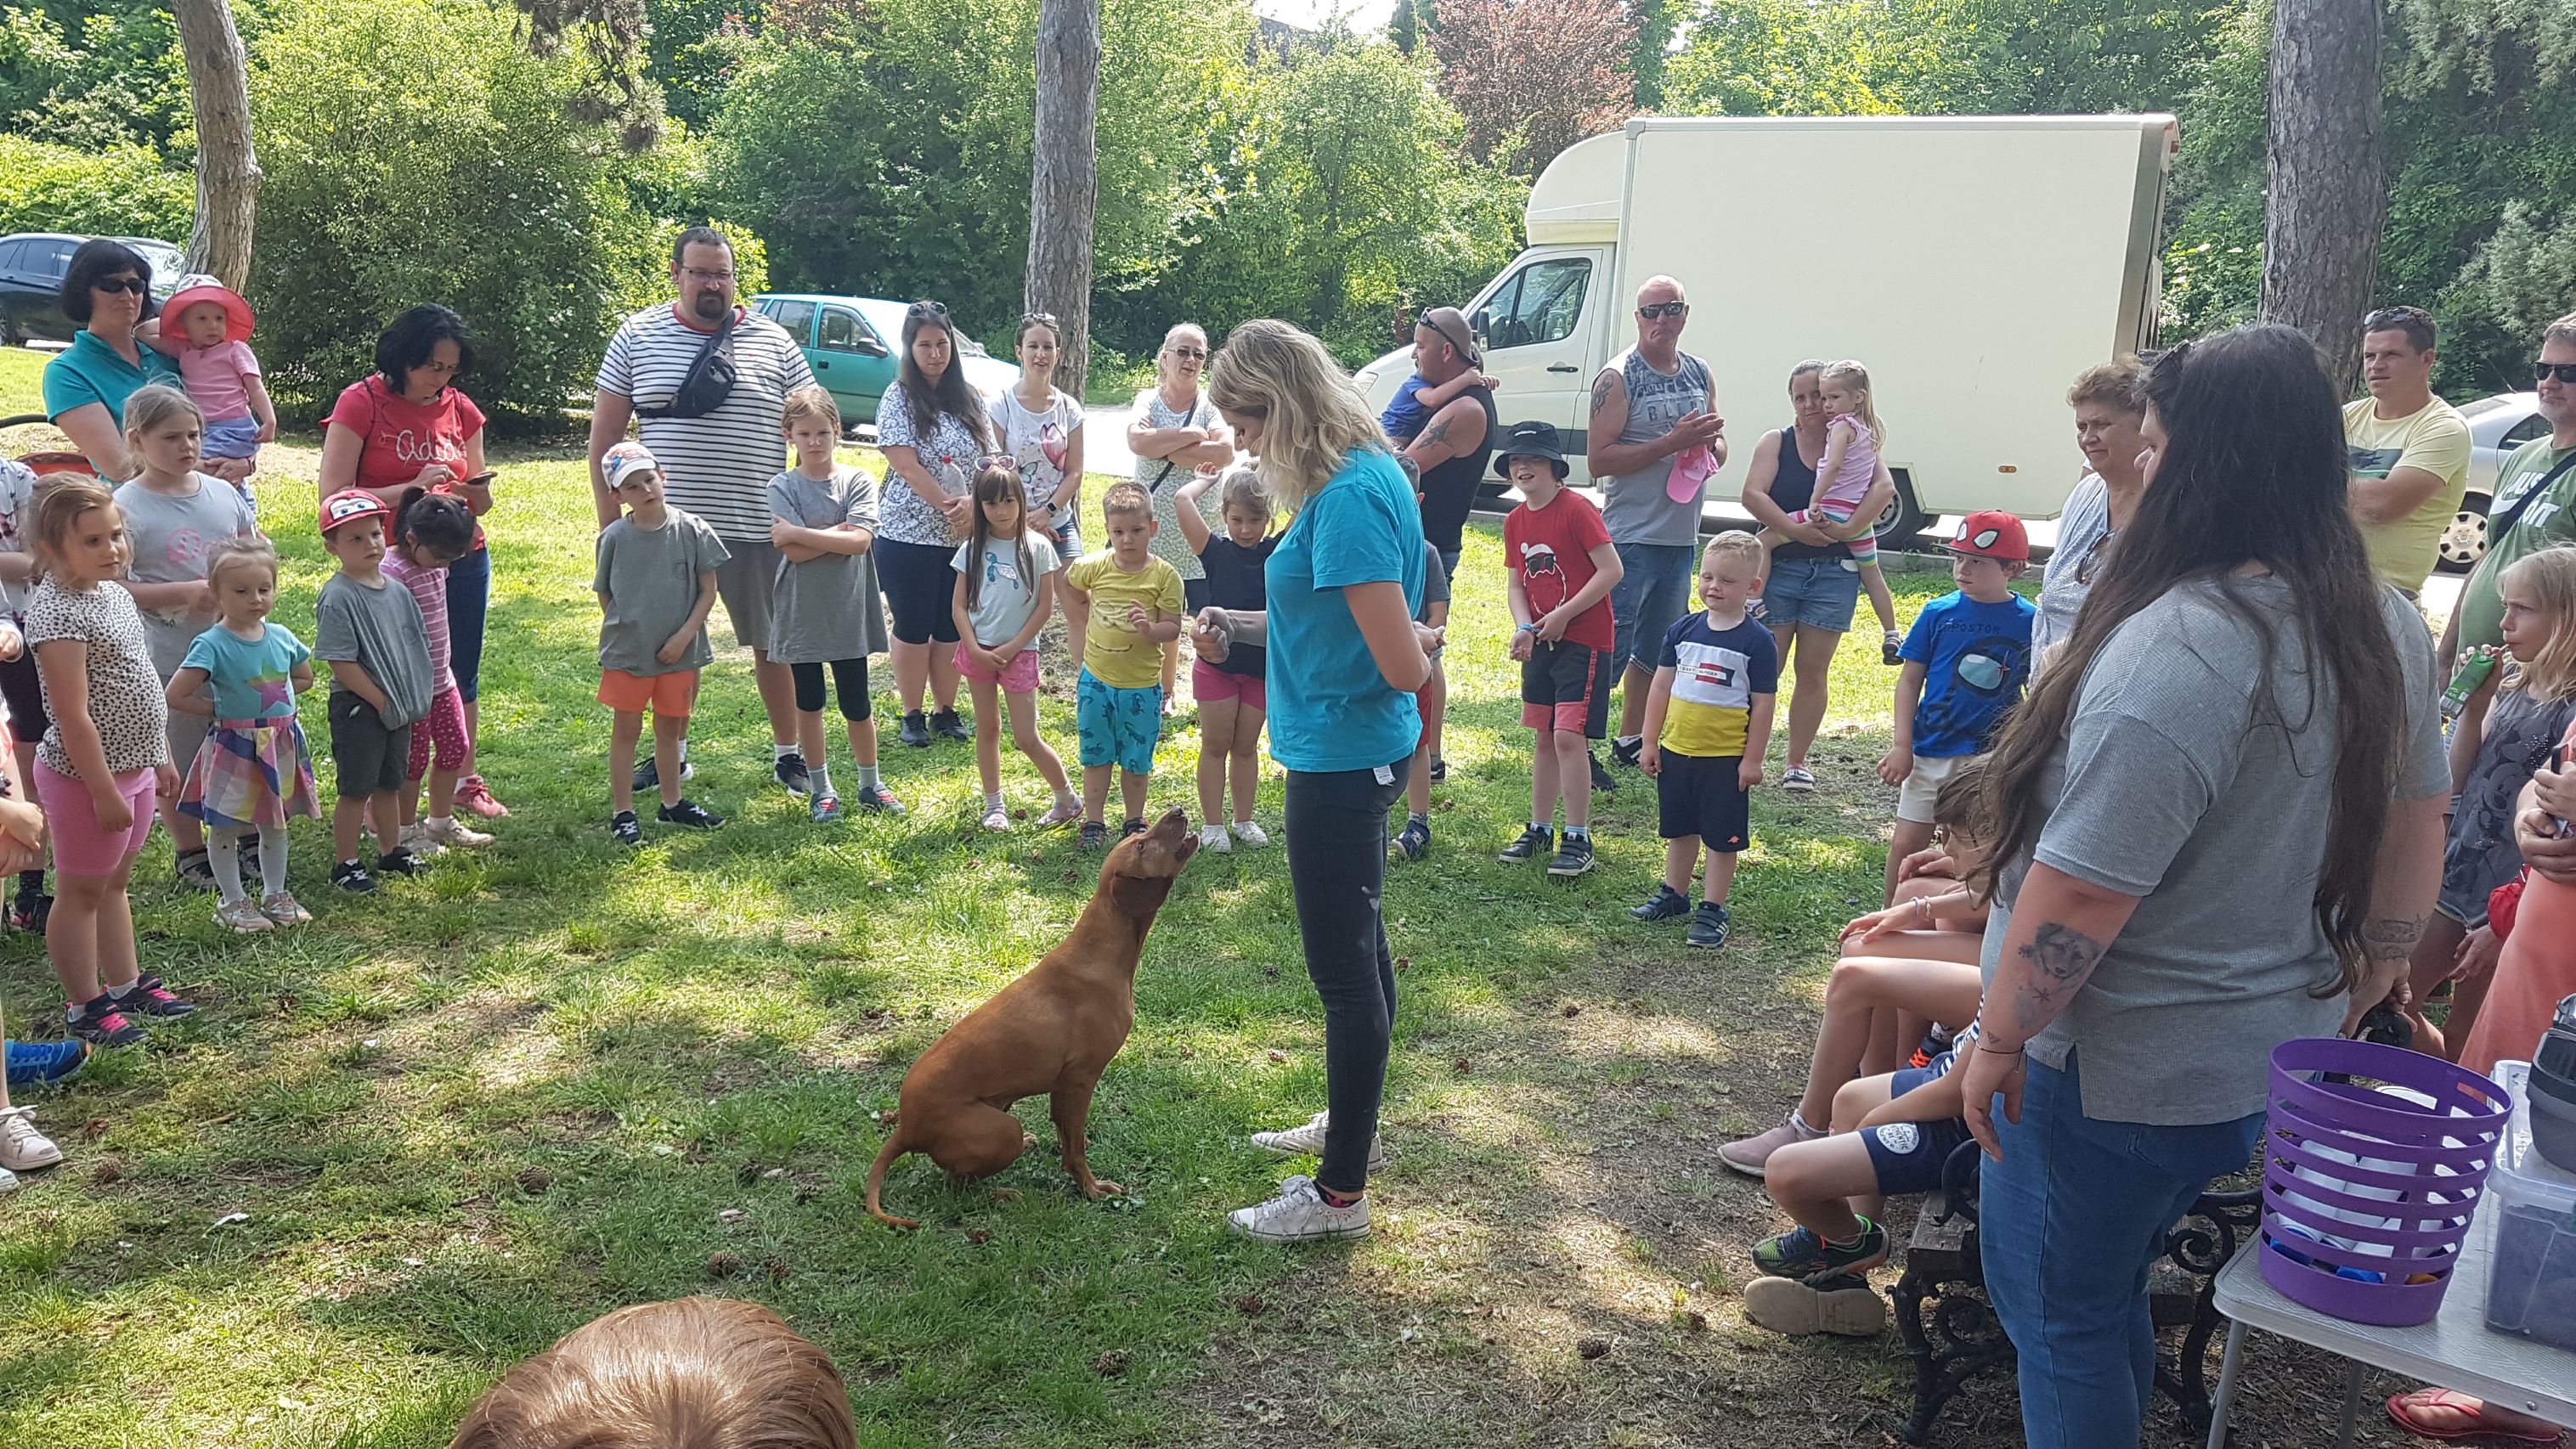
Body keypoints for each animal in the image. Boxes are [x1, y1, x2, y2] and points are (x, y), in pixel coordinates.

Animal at [855, 803, 1195, 1225]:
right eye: (1143, 845)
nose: (1177, 809)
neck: (1100, 952)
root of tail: (905, 1127)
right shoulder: (1078, 1082)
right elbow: (1076, 1147)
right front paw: (1091, 1189)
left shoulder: (1061, 1089)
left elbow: (1067, 1143)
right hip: (1003, 1130)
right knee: (957, 1183)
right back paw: (1000, 1193)